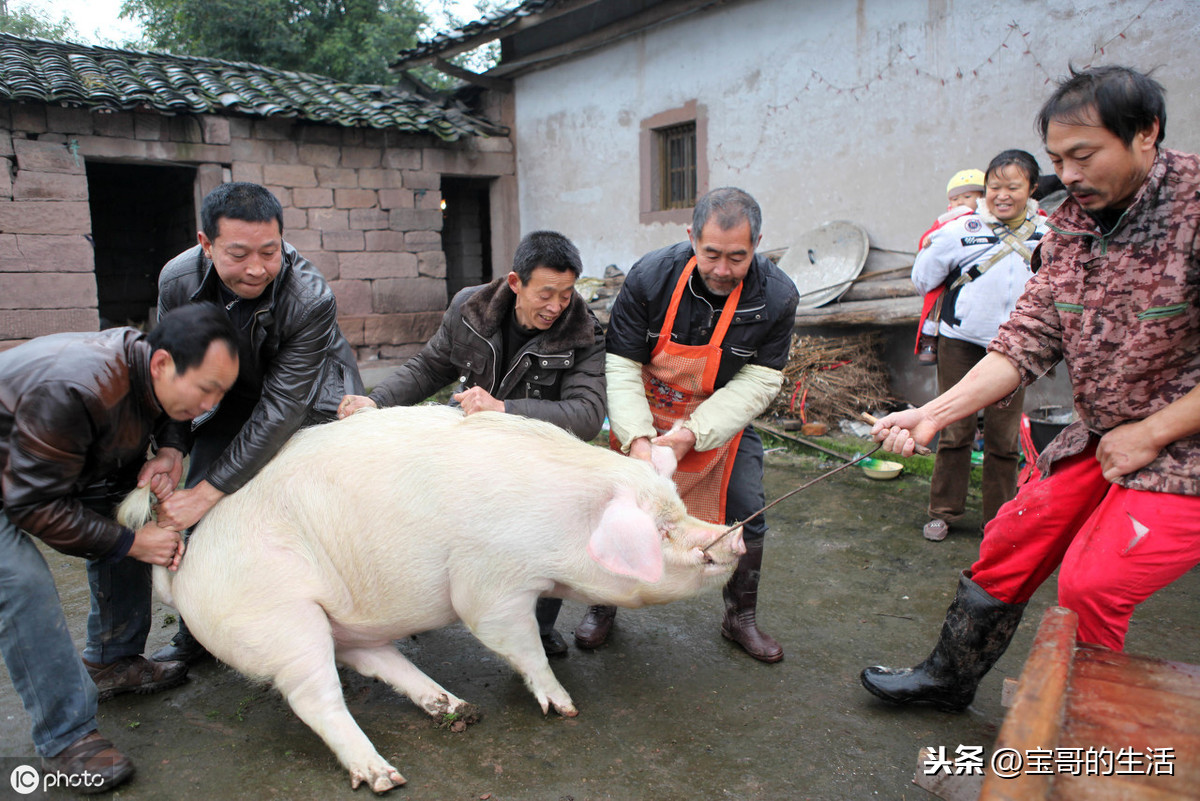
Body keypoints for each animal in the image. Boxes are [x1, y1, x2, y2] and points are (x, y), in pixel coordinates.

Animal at [119, 402, 739, 791]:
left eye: (678, 507)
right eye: (662, 528)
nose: (732, 534)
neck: (564, 525)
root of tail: (186, 573)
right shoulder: (491, 580)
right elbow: (515, 641)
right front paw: (565, 707)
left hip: (339, 619)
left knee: (374, 658)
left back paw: (459, 712)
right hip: (282, 620)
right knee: (316, 698)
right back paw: (384, 777)